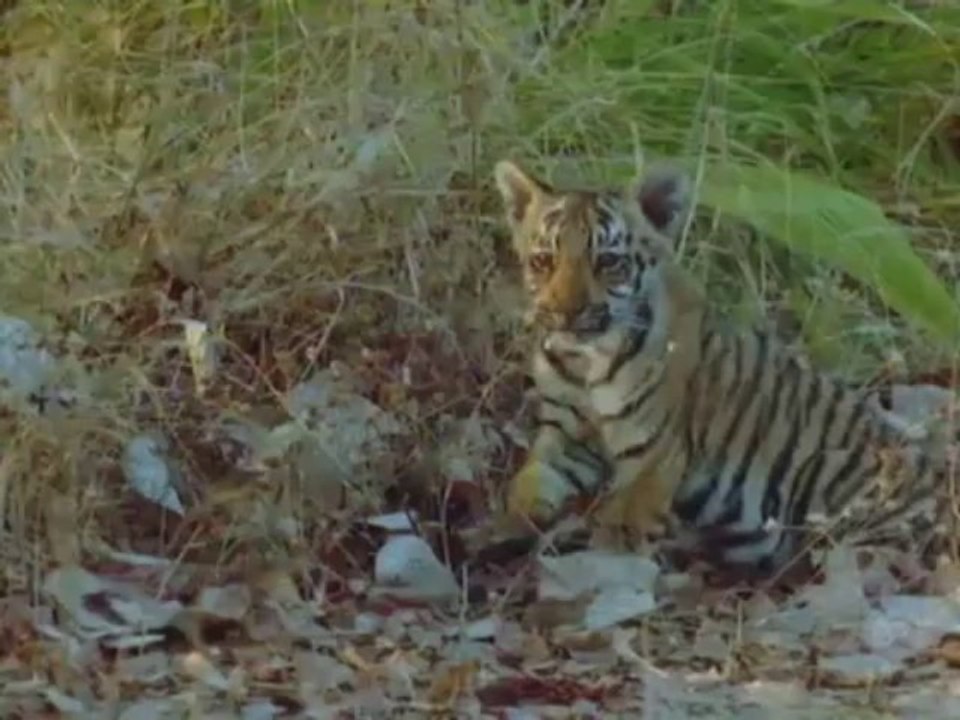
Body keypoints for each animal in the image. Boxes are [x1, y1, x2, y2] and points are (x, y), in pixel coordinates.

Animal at [491, 157, 954, 576]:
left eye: (607, 262)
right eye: (542, 261)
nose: (564, 314)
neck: (583, 363)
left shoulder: (651, 457)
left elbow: (619, 529)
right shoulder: (564, 436)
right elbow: (527, 483)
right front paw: (512, 521)